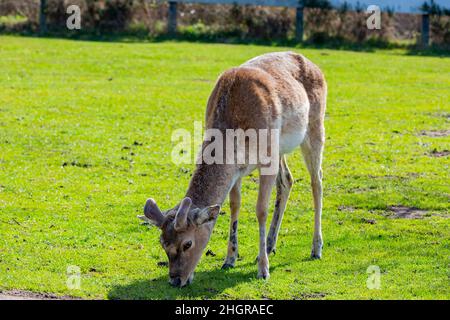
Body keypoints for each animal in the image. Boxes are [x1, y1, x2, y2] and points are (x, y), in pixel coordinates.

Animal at [141, 50, 326, 288]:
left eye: (187, 244)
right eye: (162, 243)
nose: (175, 280)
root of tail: (315, 66)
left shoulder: (267, 158)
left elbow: (261, 209)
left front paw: (263, 270)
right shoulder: (237, 169)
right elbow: (234, 204)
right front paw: (229, 259)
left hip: (315, 126)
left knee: (317, 181)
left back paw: (315, 248)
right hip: (282, 148)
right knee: (287, 180)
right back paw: (269, 245)